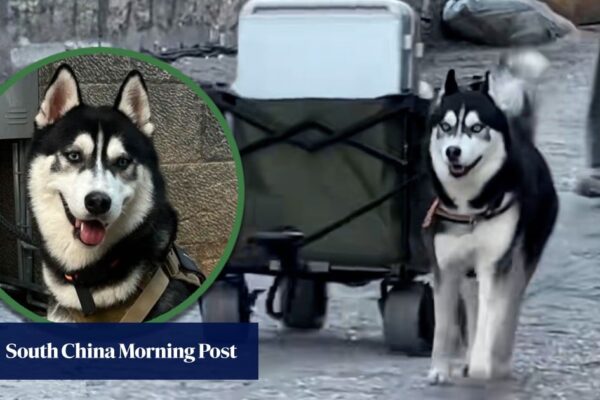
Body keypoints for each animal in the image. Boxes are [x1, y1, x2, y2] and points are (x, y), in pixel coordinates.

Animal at [424, 51, 560, 382]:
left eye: (476, 128)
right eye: (445, 126)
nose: (453, 151)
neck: (469, 207)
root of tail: (525, 141)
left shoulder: (495, 265)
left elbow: (491, 318)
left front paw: (481, 364)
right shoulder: (446, 267)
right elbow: (445, 325)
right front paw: (439, 369)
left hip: (521, 261)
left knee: (508, 310)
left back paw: (497, 361)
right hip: (469, 274)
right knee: (473, 306)